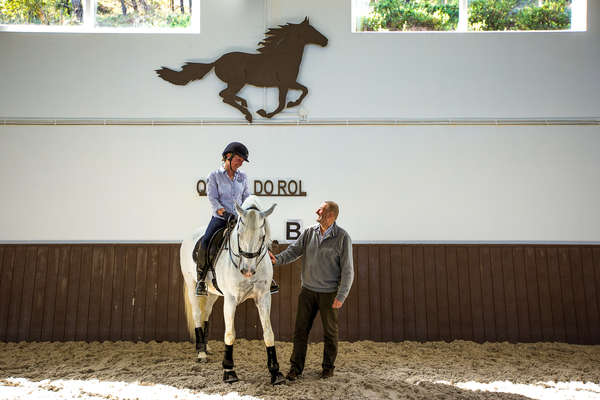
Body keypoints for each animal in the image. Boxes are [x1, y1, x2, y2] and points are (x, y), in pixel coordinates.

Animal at [179, 196, 284, 384]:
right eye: (239, 234)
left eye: (262, 236)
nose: (247, 270)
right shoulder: (230, 299)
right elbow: (230, 334)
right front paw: (229, 371)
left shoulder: (264, 297)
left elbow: (268, 333)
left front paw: (275, 372)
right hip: (191, 285)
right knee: (197, 315)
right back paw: (201, 352)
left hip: (213, 293)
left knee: (206, 314)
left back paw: (206, 346)